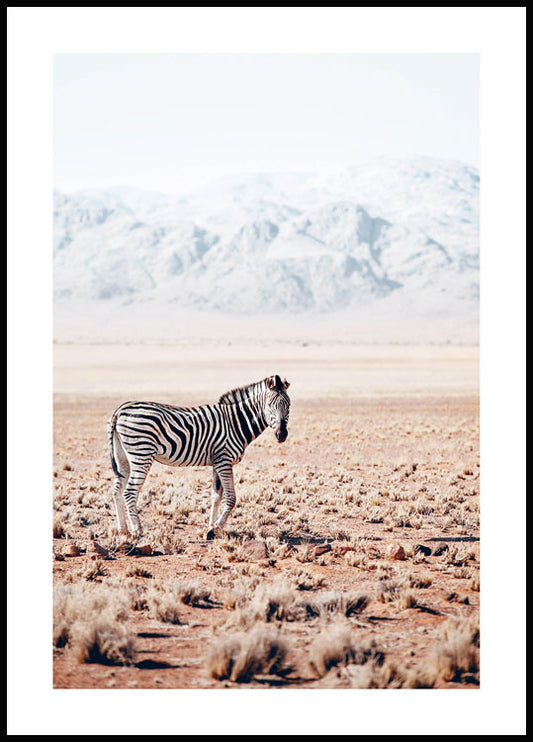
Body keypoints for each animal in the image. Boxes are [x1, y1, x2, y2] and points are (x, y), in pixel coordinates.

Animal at [107, 374, 291, 540]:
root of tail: (121, 409)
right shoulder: (224, 460)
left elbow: (216, 497)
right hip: (142, 454)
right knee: (130, 492)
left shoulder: (217, 462)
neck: (235, 422)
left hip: (123, 457)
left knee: (117, 490)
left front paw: (210, 528)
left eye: (288, 406)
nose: (282, 435)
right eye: (270, 406)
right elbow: (231, 498)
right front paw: (217, 528)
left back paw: (123, 530)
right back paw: (137, 531)